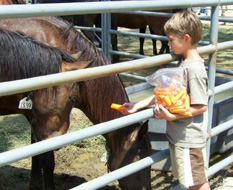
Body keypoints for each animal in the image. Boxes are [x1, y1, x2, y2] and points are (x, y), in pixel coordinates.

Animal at [0, 16, 152, 190]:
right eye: (141, 160)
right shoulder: (43, 125)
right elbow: (47, 161)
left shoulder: (37, 123)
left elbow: (36, 155)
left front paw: (35, 184)